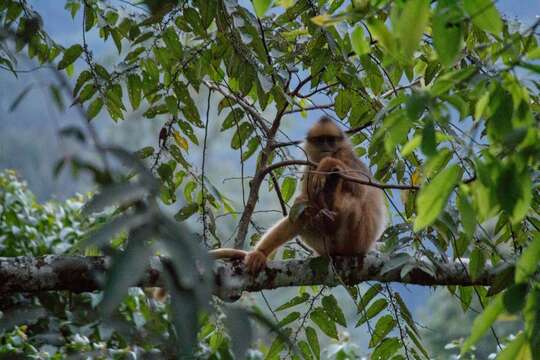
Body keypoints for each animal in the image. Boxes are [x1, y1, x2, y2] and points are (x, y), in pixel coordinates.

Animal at [209, 116, 386, 272]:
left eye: (330, 139)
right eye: (320, 140)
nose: (326, 147)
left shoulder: (346, 157)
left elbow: (362, 188)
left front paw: (328, 163)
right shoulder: (310, 167)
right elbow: (305, 202)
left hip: (356, 239)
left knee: (351, 198)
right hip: (325, 246)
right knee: (302, 213)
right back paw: (260, 253)